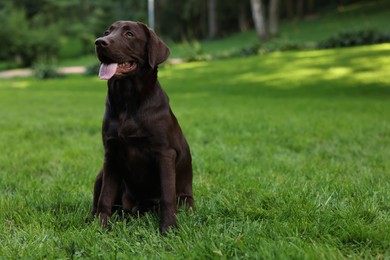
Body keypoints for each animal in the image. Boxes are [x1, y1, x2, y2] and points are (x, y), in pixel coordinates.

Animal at [87, 20, 193, 234]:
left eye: (129, 34)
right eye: (107, 32)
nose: (100, 42)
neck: (128, 102)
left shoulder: (165, 153)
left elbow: (167, 196)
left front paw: (169, 228)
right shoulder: (111, 154)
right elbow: (105, 197)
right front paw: (101, 227)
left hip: (186, 200)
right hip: (101, 172)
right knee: (97, 201)